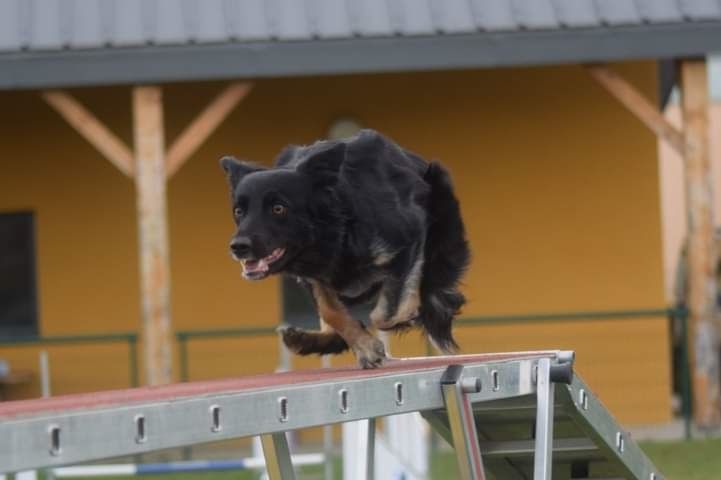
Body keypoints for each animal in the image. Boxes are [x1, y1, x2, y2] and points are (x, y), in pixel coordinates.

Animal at [219, 127, 470, 368]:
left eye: (278, 208)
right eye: (238, 211)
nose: (238, 247)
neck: (338, 226)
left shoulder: (408, 241)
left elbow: (384, 313)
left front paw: (401, 319)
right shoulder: (314, 277)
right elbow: (332, 313)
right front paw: (365, 346)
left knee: (430, 294)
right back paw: (307, 340)